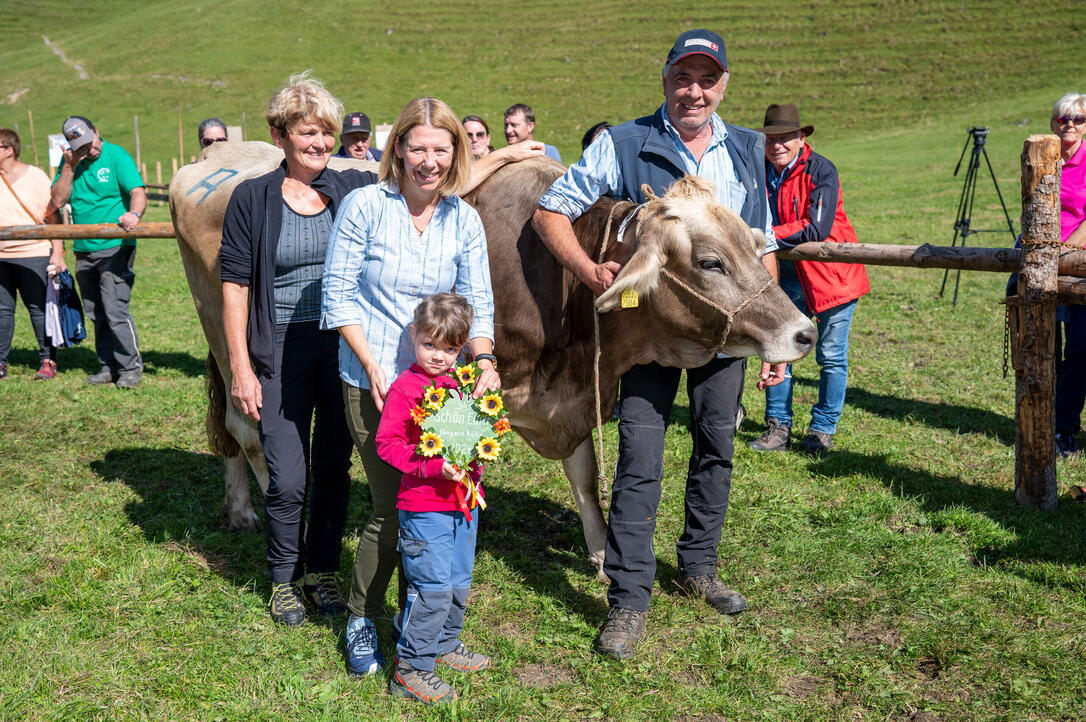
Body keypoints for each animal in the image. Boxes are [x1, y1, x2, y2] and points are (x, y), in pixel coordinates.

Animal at [171, 143, 816, 577]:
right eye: (710, 262)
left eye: (754, 243)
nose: (804, 333)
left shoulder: (570, 398)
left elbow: (585, 479)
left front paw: (602, 552)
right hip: (231, 338)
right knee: (246, 427)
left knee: (230, 431)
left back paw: (239, 507)